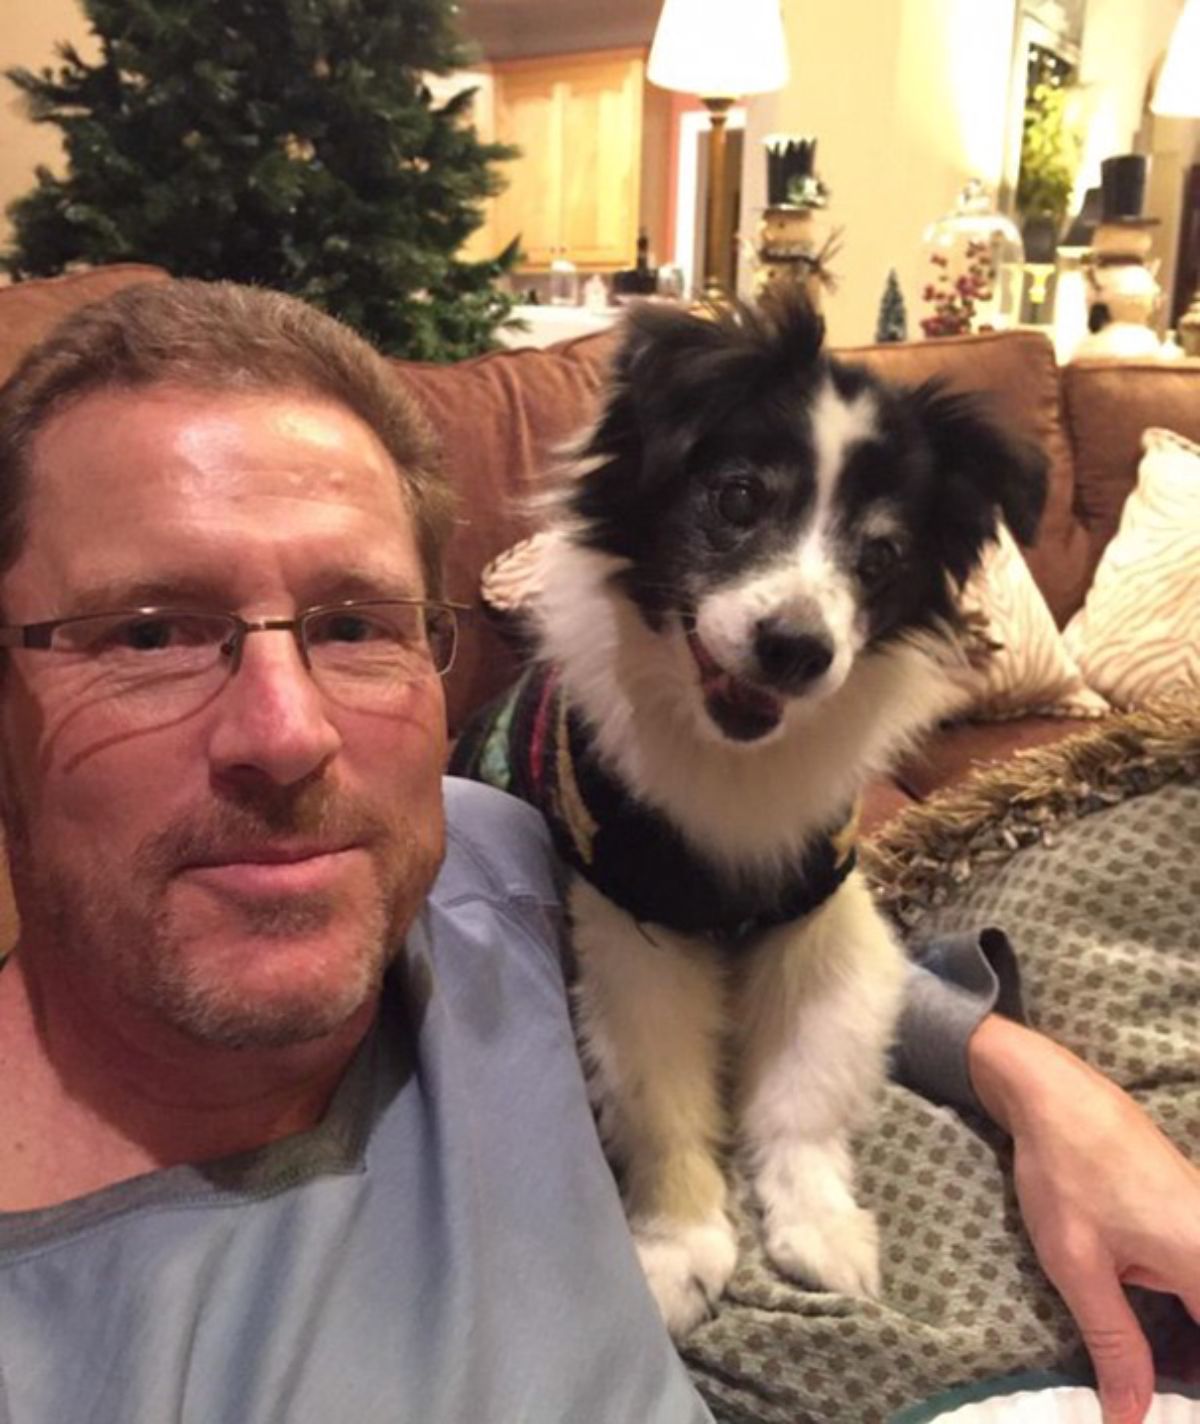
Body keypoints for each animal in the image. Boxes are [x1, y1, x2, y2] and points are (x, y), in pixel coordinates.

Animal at [449, 294, 1041, 1338]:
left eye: (882, 556)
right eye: (736, 500)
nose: (797, 649)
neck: (728, 751)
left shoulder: (816, 909)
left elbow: (804, 1081)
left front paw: (822, 1228)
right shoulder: (634, 918)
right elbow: (662, 1092)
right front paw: (679, 1247)